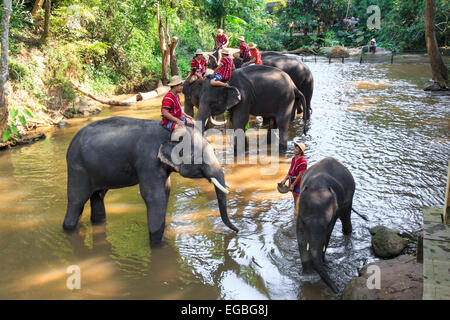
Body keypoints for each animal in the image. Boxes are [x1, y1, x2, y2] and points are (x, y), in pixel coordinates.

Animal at [64, 117, 239, 248]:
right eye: (199, 158)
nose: (237, 230)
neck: (170, 133)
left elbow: (166, 191)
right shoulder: (148, 161)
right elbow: (154, 197)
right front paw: (158, 245)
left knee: (98, 196)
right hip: (77, 168)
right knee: (77, 201)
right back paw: (68, 229)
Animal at [298, 156, 356, 294]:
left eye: (328, 223)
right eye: (304, 222)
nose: (338, 290)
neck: (318, 187)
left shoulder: (333, 213)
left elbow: (327, 235)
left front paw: (323, 265)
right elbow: (300, 236)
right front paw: (307, 276)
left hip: (349, 197)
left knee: (346, 221)